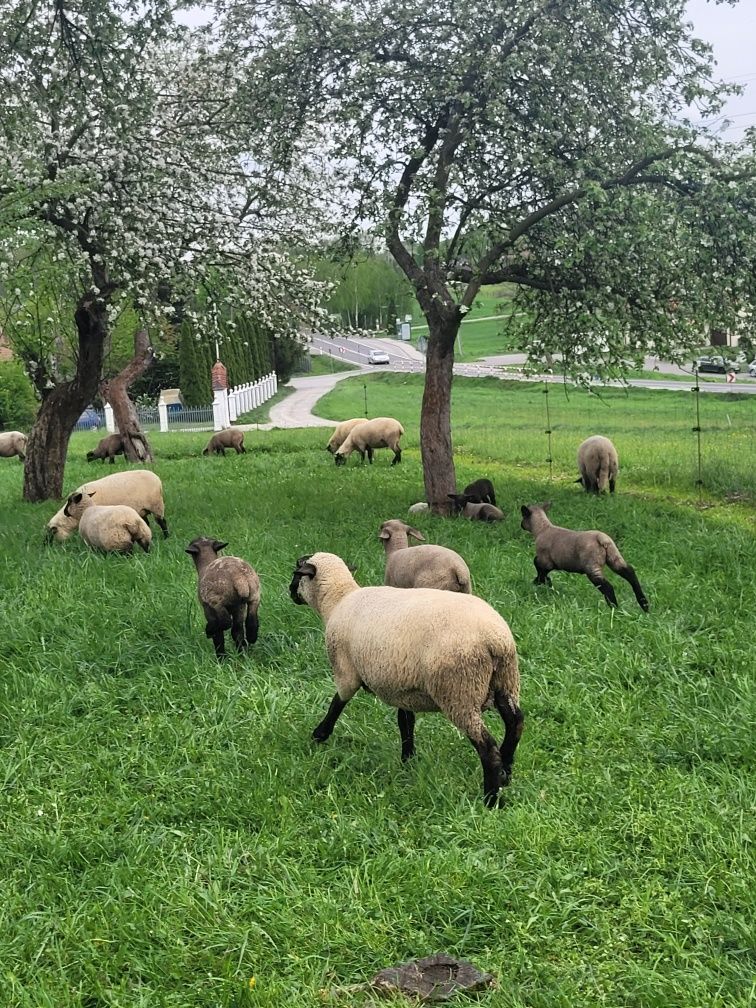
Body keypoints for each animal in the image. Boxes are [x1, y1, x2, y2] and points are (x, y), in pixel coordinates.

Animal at [286, 556, 524, 806]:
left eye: (296, 573)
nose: (290, 592)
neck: (338, 600)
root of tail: (496, 640)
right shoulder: (402, 686)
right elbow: (405, 722)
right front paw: (407, 759)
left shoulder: (346, 672)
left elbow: (336, 704)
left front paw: (319, 735)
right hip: (505, 681)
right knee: (516, 722)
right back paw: (506, 771)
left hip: (459, 690)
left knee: (487, 747)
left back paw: (491, 798)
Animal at [520, 501, 653, 608]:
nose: (521, 525)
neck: (542, 528)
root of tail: (602, 538)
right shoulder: (551, 563)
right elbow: (542, 571)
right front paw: (545, 583)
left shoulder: (545, 560)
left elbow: (538, 566)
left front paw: (539, 583)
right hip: (614, 557)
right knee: (630, 573)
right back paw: (644, 605)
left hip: (591, 567)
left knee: (608, 586)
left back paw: (614, 608)